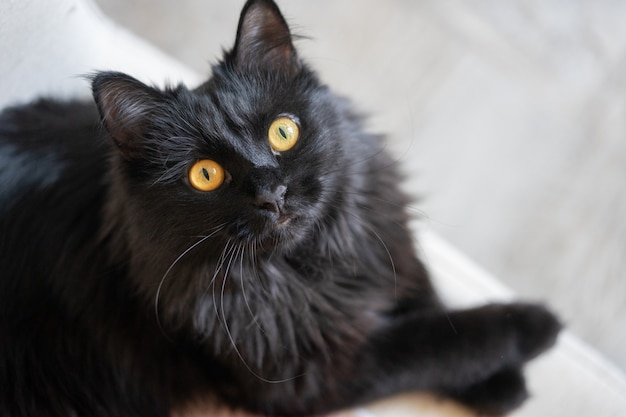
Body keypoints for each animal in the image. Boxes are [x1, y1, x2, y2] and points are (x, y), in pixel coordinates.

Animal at [0, 0, 560, 416]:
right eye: (206, 175)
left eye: (283, 132)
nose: (272, 193)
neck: (304, 272)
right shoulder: (314, 373)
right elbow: (437, 340)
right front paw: (534, 326)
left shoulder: (384, 247)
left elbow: (427, 299)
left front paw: (502, 385)